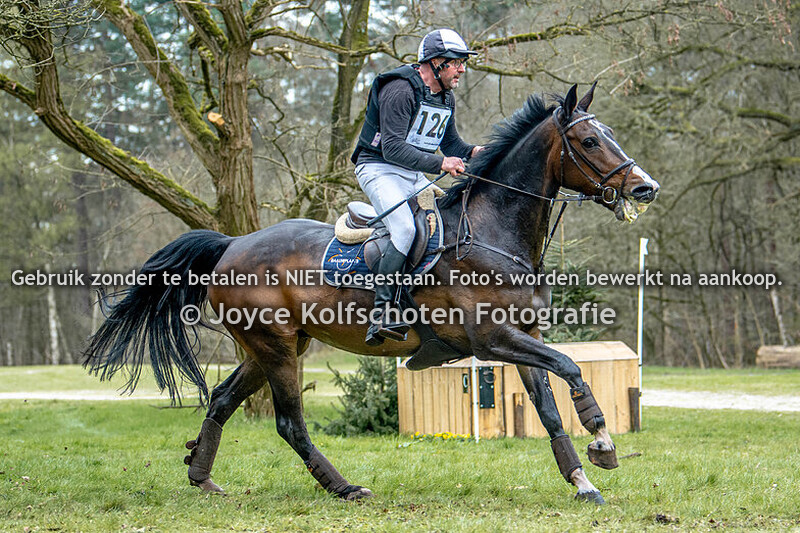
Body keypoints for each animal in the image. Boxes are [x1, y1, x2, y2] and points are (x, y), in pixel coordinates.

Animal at [84, 83, 659, 505]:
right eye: (589, 142)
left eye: (608, 134)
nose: (644, 188)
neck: (496, 232)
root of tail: (232, 243)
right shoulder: (492, 338)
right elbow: (571, 367)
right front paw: (602, 440)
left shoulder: (522, 336)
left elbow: (548, 408)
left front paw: (582, 481)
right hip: (276, 346)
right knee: (290, 423)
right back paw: (344, 488)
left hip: (272, 346)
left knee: (224, 400)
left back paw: (202, 476)